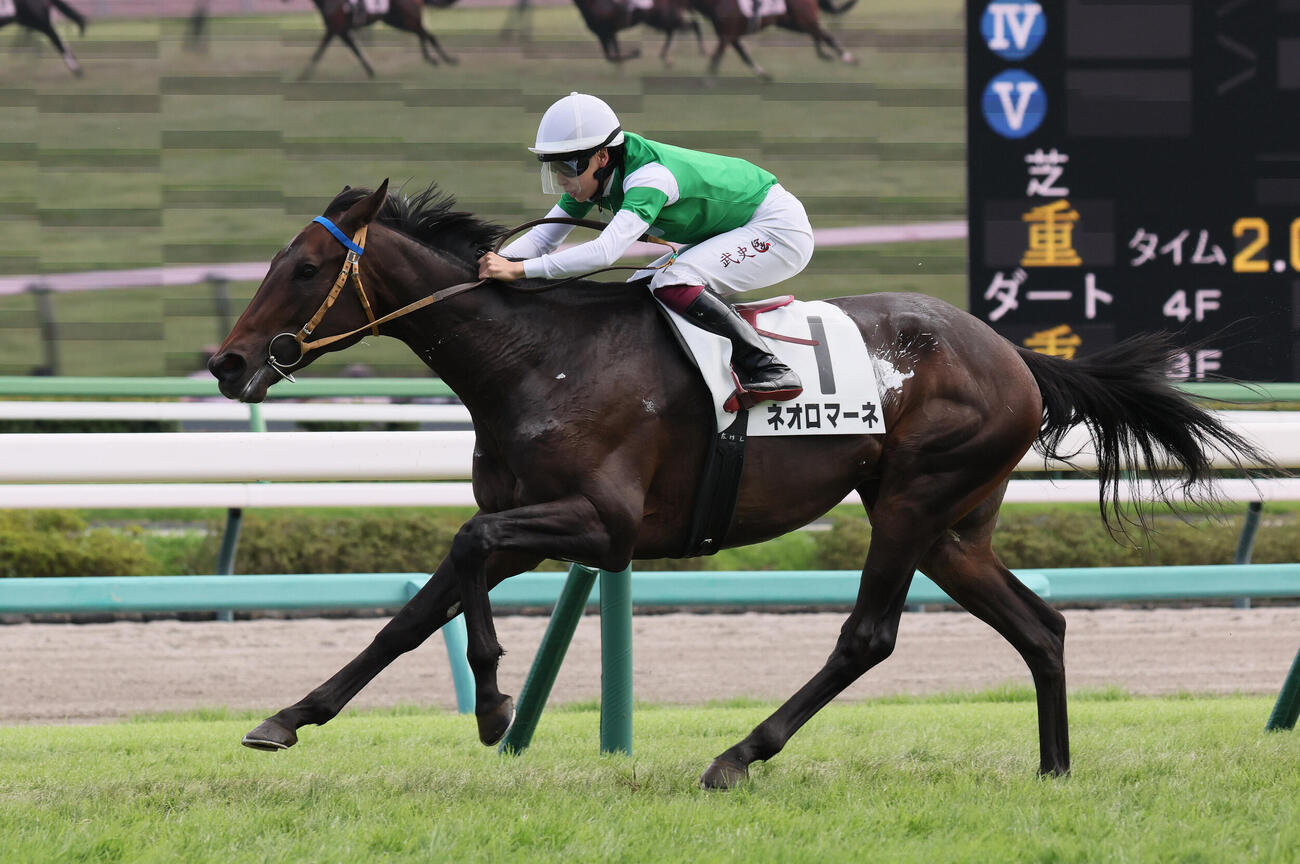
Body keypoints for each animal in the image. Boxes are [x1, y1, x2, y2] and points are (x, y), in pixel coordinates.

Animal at [208, 181, 1272, 788]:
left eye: (306, 267)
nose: (227, 364)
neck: (538, 359)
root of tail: (1014, 354)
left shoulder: (603, 527)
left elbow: (465, 559)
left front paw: (495, 706)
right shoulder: (526, 515)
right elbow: (416, 608)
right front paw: (289, 718)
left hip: (915, 502)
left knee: (868, 637)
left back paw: (737, 756)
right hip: (954, 527)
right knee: (1039, 625)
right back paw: (1054, 770)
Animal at [293, 0, 457, 79]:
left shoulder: (334, 30)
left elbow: (319, 52)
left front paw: (303, 76)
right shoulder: (342, 32)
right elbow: (356, 51)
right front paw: (370, 71)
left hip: (406, 20)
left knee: (427, 35)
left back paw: (447, 59)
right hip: (397, 21)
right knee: (422, 34)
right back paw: (432, 58)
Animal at [570, 0, 704, 65]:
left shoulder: (608, 31)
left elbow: (615, 56)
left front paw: (635, 53)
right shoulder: (604, 34)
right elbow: (612, 56)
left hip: (667, 19)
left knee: (694, 25)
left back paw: (703, 51)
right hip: (662, 20)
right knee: (672, 32)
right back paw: (665, 57)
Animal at [691, 0, 856, 79]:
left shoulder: (727, 35)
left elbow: (717, 57)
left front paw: (707, 80)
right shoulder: (731, 37)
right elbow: (744, 56)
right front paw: (764, 75)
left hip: (803, 20)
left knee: (825, 35)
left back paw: (848, 58)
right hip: (793, 23)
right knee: (818, 34)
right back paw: (825, 54)